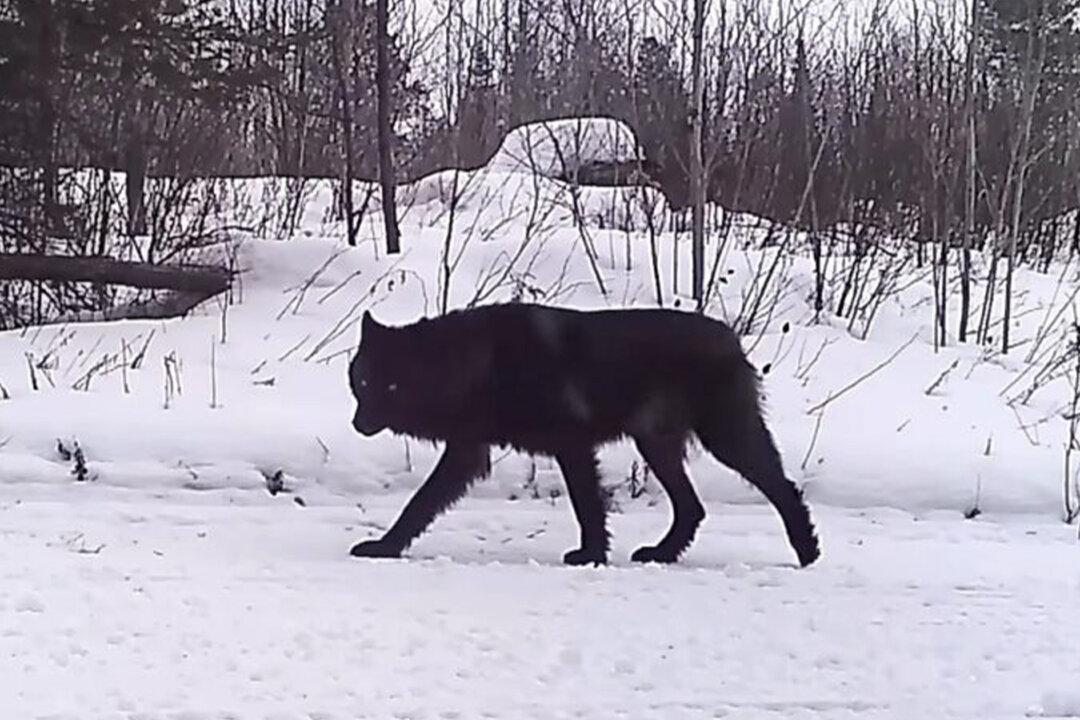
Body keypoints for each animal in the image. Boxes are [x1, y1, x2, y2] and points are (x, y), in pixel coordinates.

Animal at [348, 303, 820, 567]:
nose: (357, 425)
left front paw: (591, 555)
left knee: (782, 487)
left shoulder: (571, 444)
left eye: (390, 386)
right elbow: (420, 504)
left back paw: (807, 550)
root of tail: (730, 337)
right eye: (364, 382)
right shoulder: (467, 452)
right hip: (657, 445)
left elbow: (586, 505)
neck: (474, 363)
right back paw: (661, 554)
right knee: (693, 508)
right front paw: (387, 547)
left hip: (723, 439)